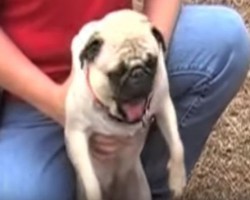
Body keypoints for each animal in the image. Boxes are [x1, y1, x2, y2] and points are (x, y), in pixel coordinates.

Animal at [65, 9, 187, 200]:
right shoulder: (76, 132)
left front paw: (177, 178)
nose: (137, 73)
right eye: (116, 72)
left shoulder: (164, 106)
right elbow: (91, 182)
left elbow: (177, 146)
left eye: (152, 62)